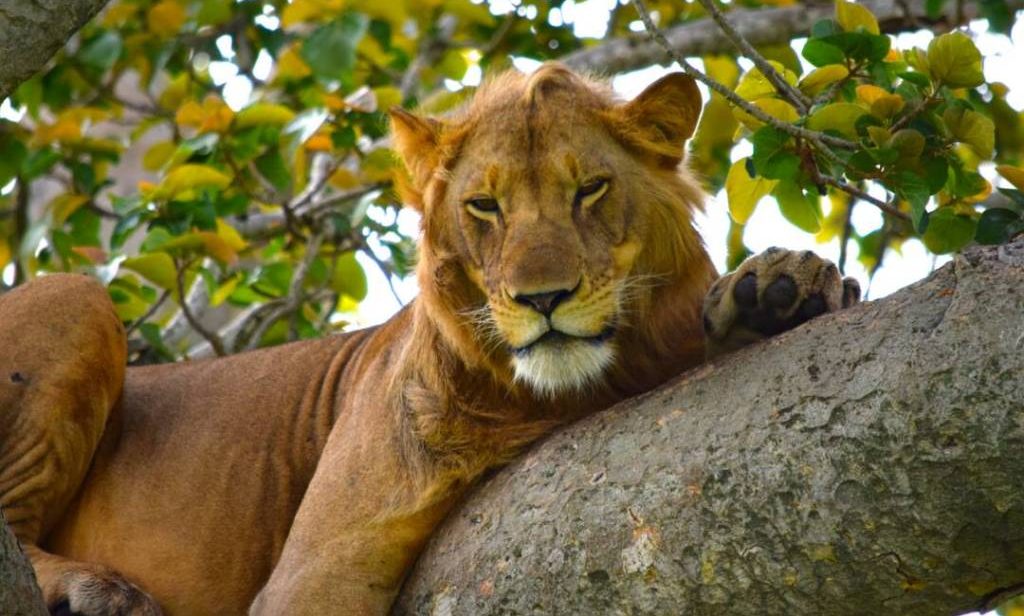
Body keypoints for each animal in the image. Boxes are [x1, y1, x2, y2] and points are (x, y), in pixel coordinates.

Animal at [2, 64, 856, 609]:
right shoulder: (315, 571)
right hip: (77, 294)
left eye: (590, 189)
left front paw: (782, 290)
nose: (542, 298)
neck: (549, 397)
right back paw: (96, 592)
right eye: (485, 206)